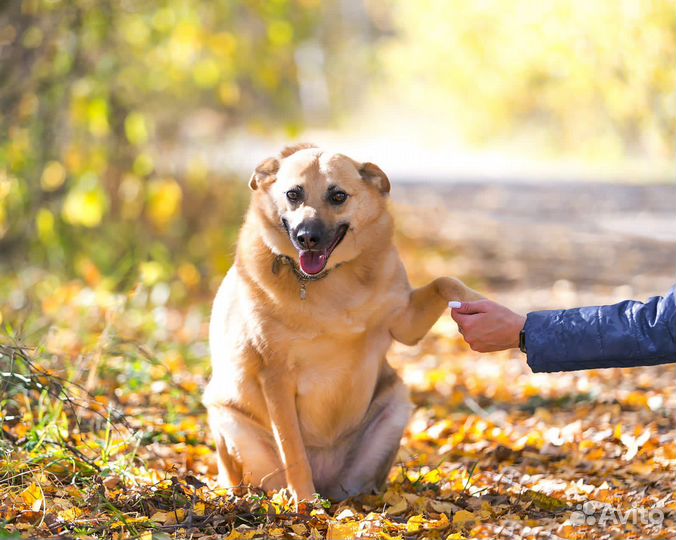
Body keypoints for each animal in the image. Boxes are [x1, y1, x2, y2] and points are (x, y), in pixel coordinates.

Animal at [203, 144, 484, 502]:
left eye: (338, 196)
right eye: (293, 194)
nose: (307, 238)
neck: (327, 282)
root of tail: (330, 483)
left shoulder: (406, 323)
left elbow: (445, 281)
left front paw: (480, 303)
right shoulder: (275, 376)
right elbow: (293, 452)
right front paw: (305, 504)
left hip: (395, 405)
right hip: (227, 419)